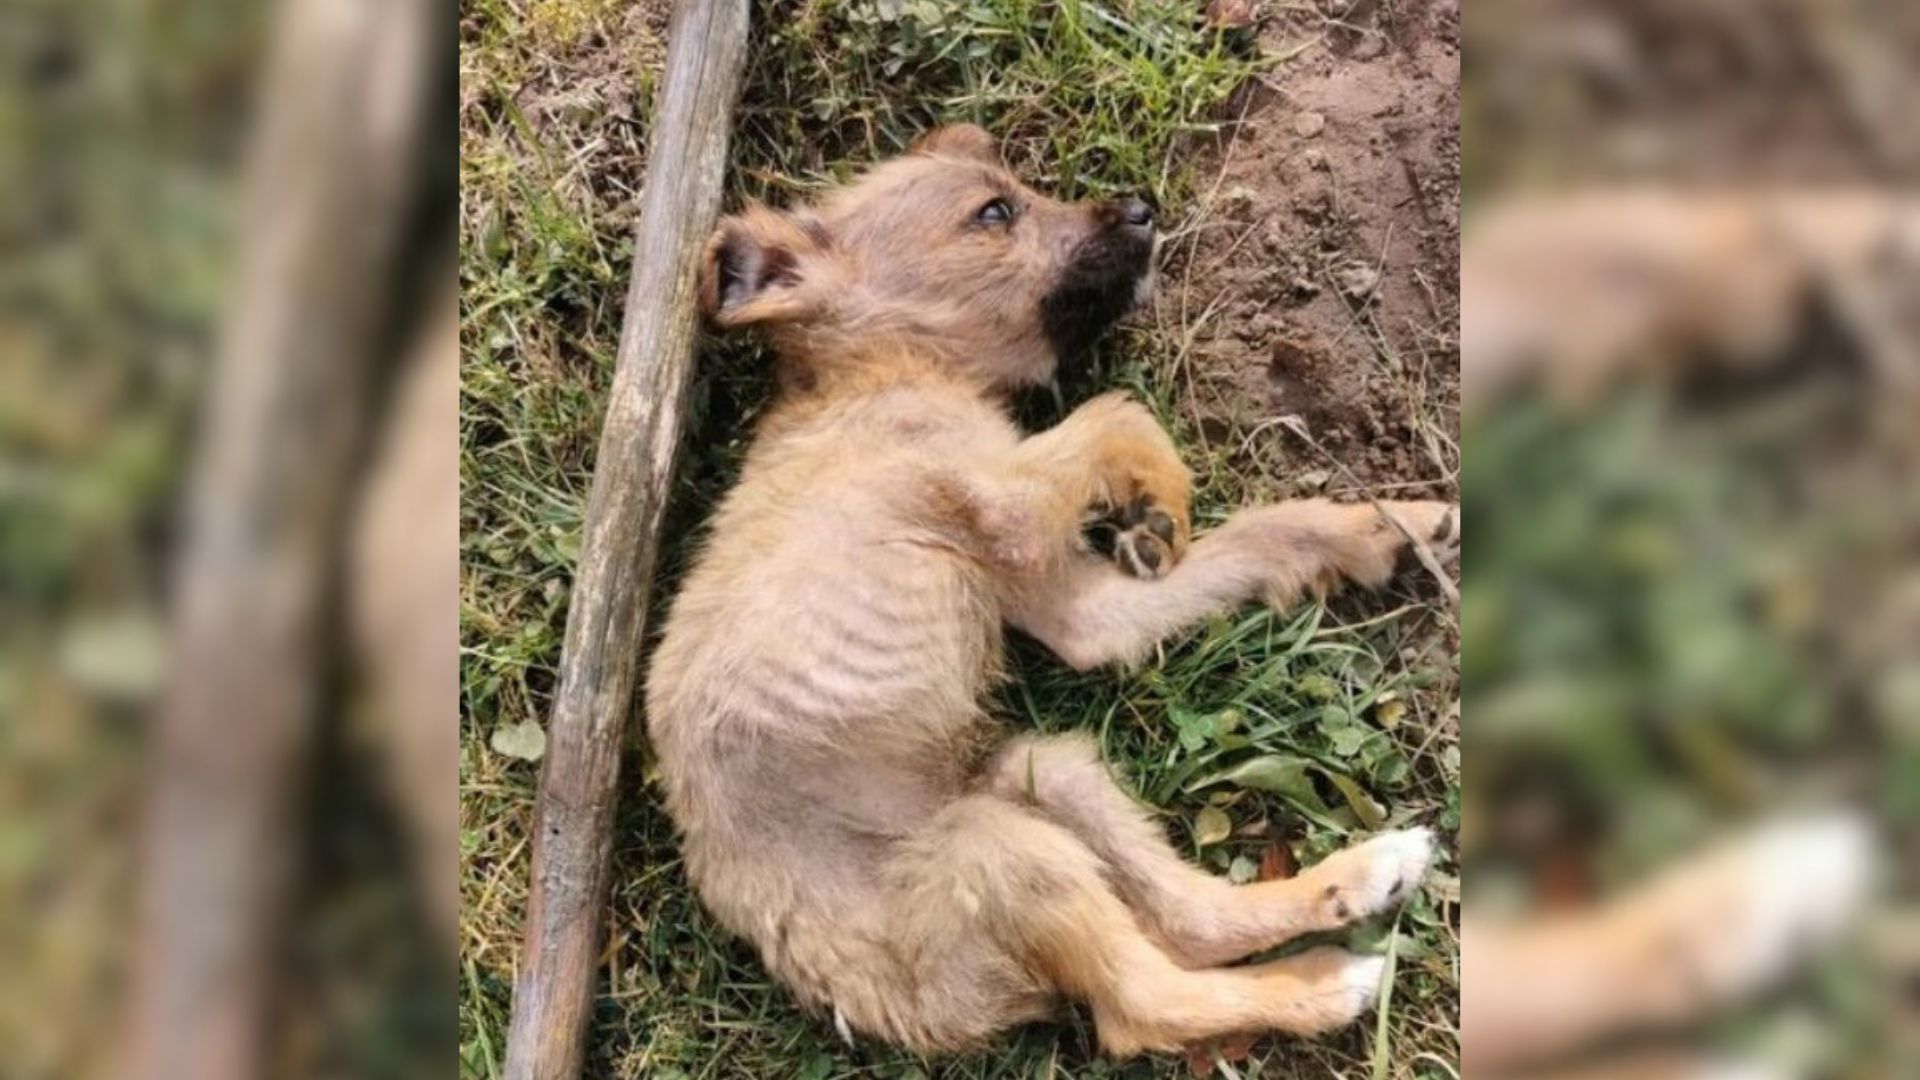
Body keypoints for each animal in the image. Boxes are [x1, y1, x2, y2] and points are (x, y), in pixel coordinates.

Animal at [645, 123, 1451, 1053]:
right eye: (995, 212)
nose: (1143, 207)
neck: (885, 371)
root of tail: (860, 1001)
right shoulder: (1008, 503)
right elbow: (1117, 409)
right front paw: (1164, 493)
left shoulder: (1073, 610)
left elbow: (1251, 534)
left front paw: (1384, 527)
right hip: (999, 854)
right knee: (1144, 1004)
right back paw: (1328, 985)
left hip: (1045, 771)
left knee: (1191, 923)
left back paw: (1360, 878)